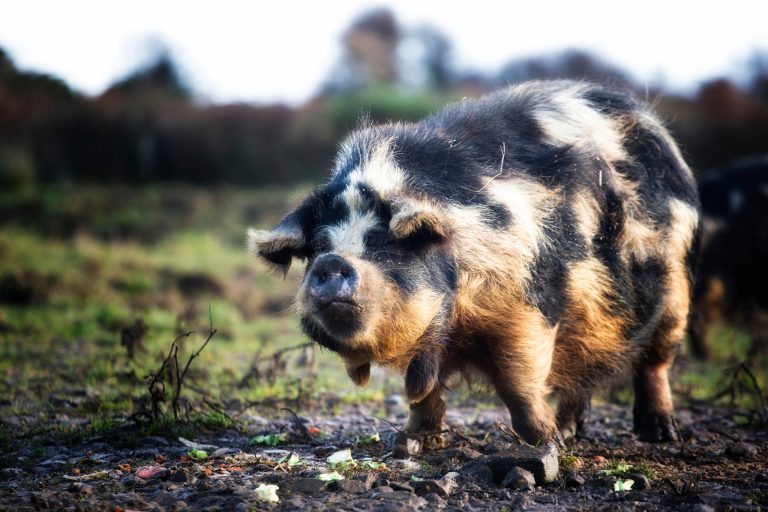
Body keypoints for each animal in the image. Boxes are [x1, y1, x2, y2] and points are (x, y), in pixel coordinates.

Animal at [247, 80, 701, 446]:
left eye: (384, 243)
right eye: (319, 246)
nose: (332, 262)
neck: (458, 323)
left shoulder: (530, 308)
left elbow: (520, 382)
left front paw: (546, 443)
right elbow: (424, 394)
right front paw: (411, 444)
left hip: (677, 288)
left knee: (654, 363)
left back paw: (660, 435)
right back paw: (574, 430)